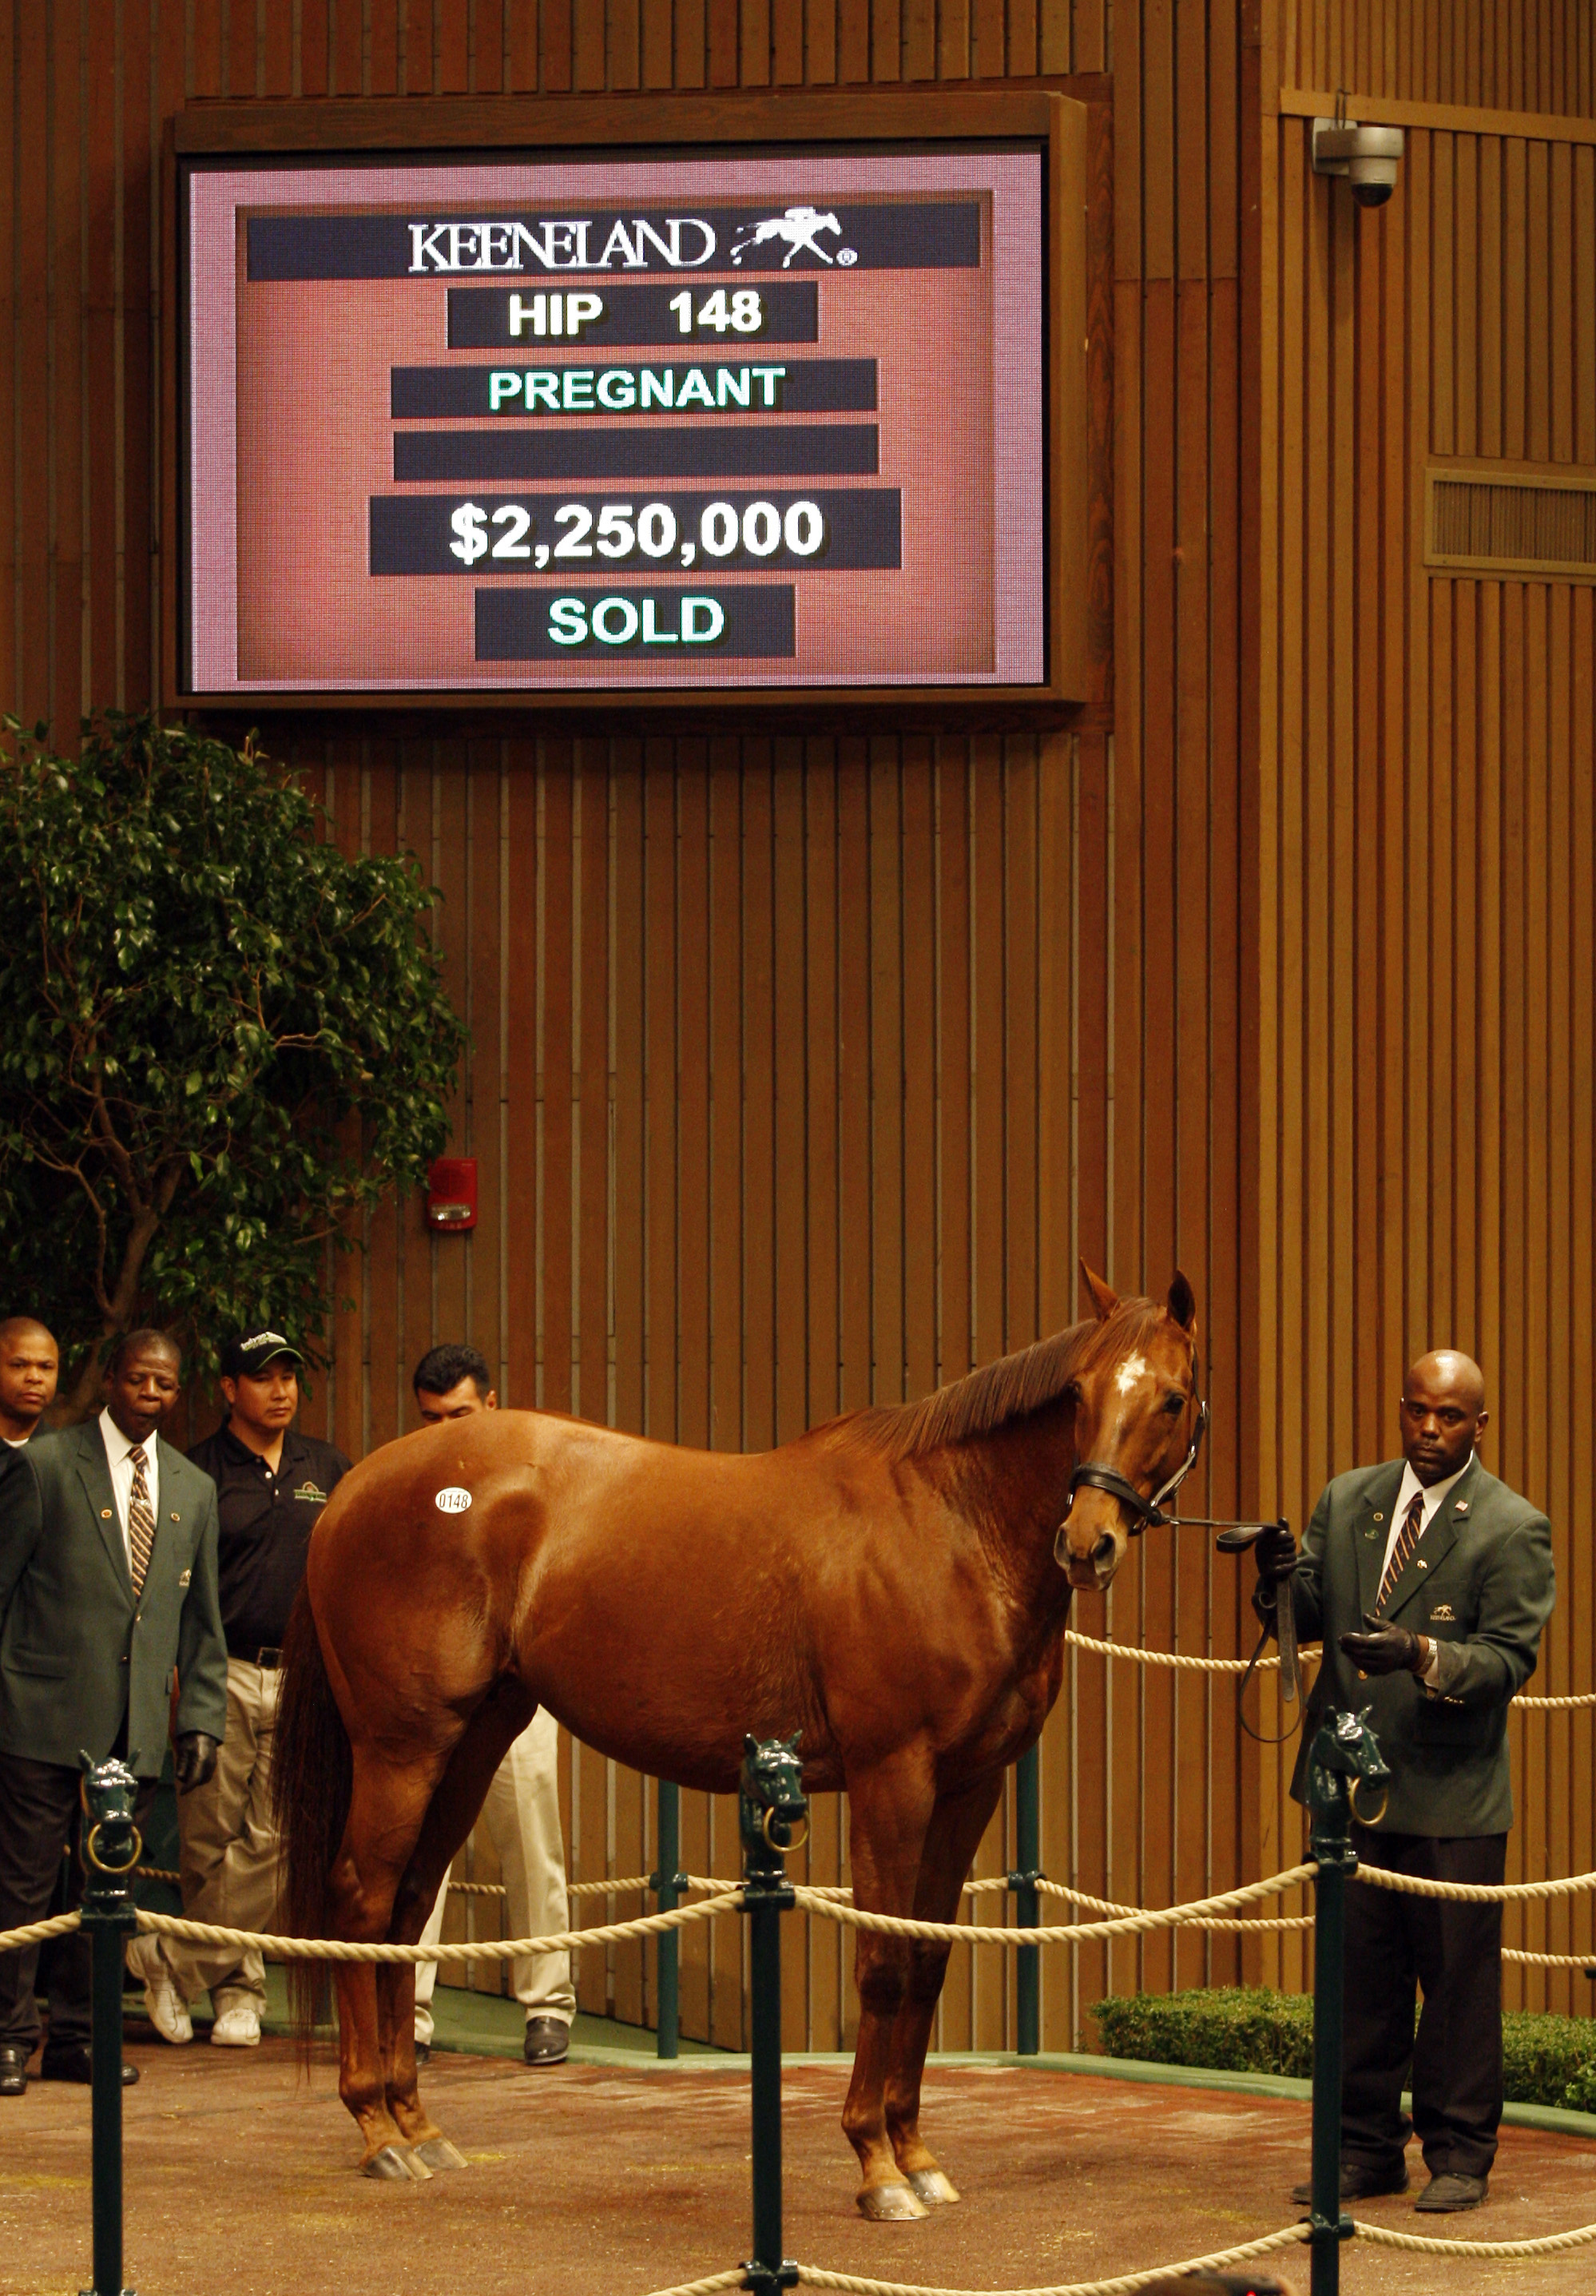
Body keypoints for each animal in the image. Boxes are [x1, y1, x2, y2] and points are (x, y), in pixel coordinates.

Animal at [274, 1267, 1203, 2213]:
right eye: (1079, 1394)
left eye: (1171, 1397)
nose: (1086, 1544)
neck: (949, 1525)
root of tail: (354, 1491)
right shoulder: (892, 1778)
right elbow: (883, 1963)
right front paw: (877, 2163)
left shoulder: (968, 1788)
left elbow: (928, 1959)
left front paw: (916, 2154)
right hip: (403, 1747)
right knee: (362, 1899)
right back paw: (379, 2127)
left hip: (471, 1744)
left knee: (407, 1907)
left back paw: (417, 2123)